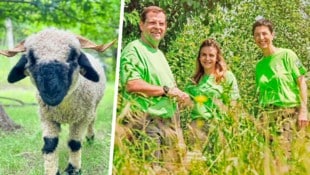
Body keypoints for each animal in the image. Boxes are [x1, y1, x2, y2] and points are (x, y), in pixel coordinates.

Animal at [0, 28, 115, 175]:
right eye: (31, 59)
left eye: (73, 57)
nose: (51, 93)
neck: (64, 109)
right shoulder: (46, 116)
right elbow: (50, 144)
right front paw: (52, 170)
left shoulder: (82, 118)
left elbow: (74, 143)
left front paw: (74, 169)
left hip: (93, 107)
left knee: (93, 120)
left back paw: (90, 138)